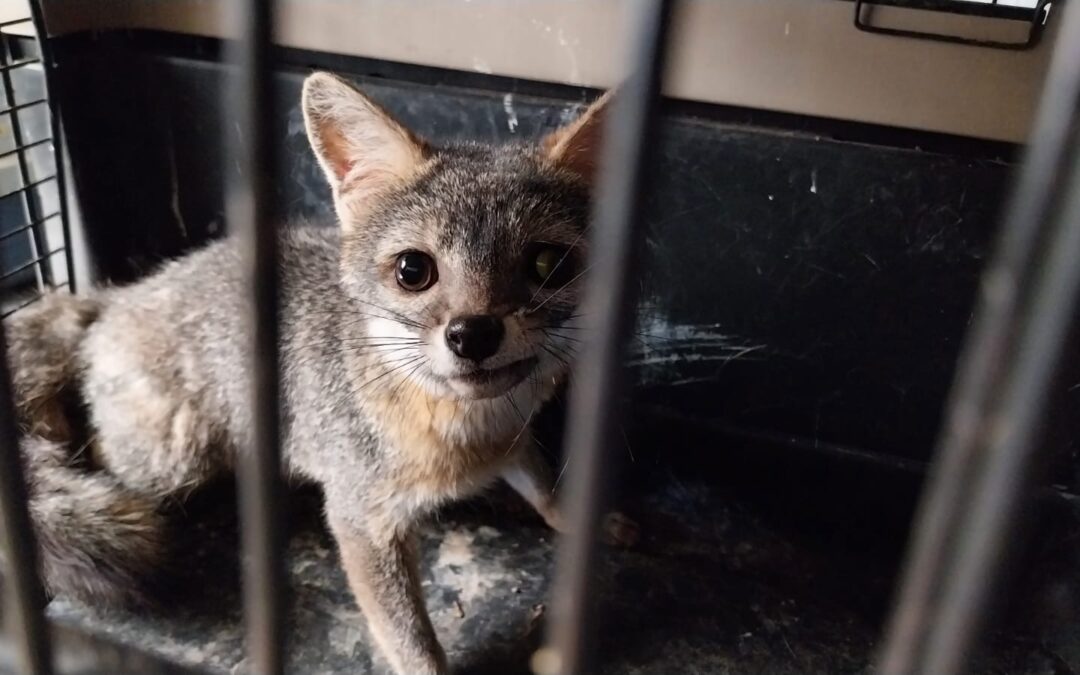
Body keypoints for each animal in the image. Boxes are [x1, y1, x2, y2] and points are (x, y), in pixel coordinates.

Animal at [3, 72, 637, 674]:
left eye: (548, 264)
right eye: (413, 270)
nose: (472, 334)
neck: (469, 434)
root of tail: (114, 296)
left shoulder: (515, 439)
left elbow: (546, 485)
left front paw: (583, 518)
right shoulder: (361, 520)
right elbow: (412, 641)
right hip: (172, 458)